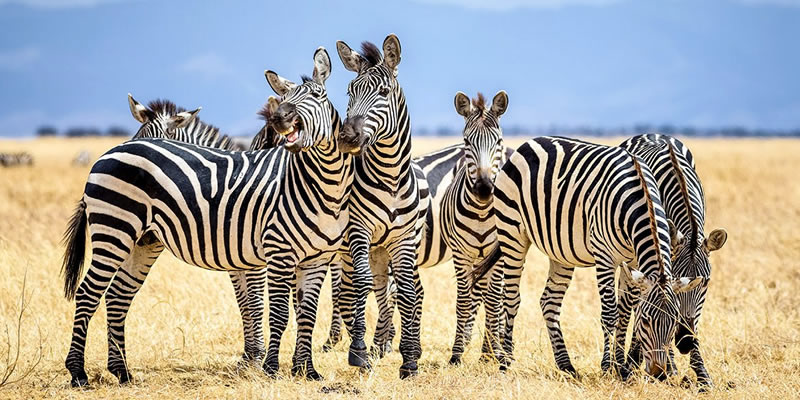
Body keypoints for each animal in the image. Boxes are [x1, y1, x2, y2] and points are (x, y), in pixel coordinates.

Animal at [60, 47, 350, 388]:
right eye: (286, 97)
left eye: (318, 95)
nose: (280, 118)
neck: (321, 183)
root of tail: (107, 154)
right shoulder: (273, 253)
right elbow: (268, 308)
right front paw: (265, 366)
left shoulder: (314, 257)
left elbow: (304, 312)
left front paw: (305, 370)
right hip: (114, 230)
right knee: (88, 293)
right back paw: (78, 372)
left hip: (143, 241)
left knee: (118, 296)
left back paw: (122, 371)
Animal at [334, 34, 428, 378]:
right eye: (349, 92)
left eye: (384, 93)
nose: (347, 138)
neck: (390, 177)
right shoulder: (358, 231)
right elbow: (361, 286)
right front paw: (359, 351)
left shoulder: (403, 239)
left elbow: (408, 292)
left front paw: (410, 359)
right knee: (367, 289)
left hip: (387, 248)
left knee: (393, 290)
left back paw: (388, 345)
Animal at [472, 138, 704, 382]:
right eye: (646, 321)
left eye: (674, 322)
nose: (659, 374)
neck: (640, 200)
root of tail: (528, 144)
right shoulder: (605, 257)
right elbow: (610, 313)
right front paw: (607, 367)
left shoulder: (632, 262)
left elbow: (624, 313)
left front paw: (621, 368)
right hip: (513, 234)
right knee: (511, 298)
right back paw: (506, 361)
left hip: (560, 251)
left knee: (549, 302)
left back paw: (566, 365)